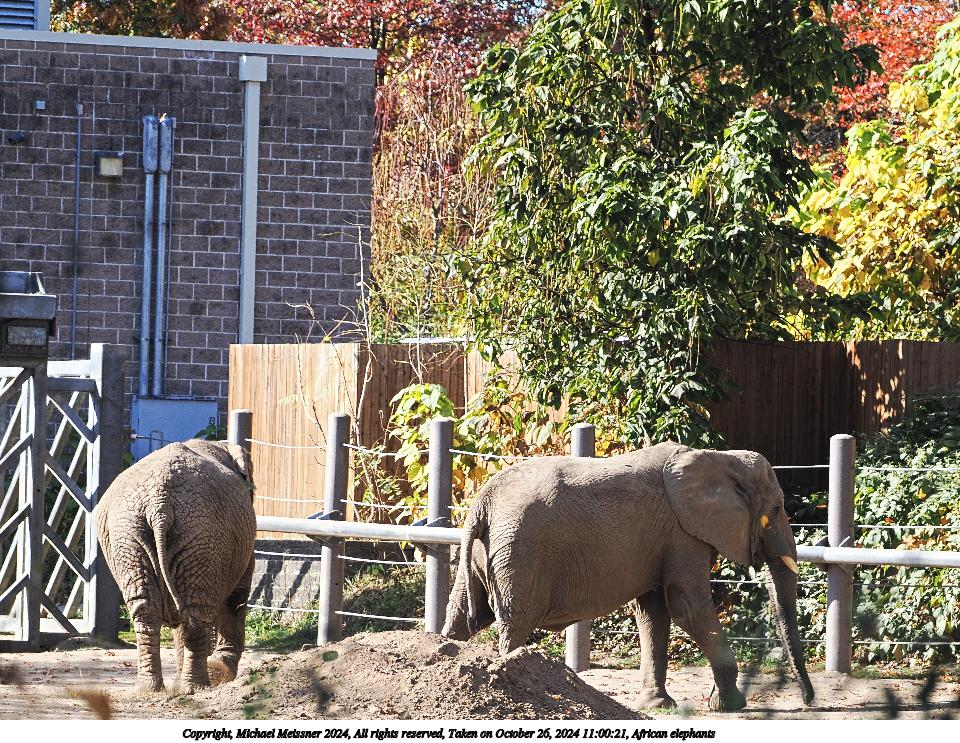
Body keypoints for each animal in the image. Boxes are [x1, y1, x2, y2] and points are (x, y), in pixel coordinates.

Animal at [95, 438, 256, 694]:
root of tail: (159, 504)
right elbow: (237, 596)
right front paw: (221, 671)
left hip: (128, 535)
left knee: (150, 610)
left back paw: (151, 689)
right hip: (202, 532)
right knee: (195, 610)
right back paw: (196, 687)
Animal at [441, 442, 814, 712]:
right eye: (777, 509)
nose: (810, 703)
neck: (721, 458)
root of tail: (482, 502)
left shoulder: (663, 540)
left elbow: (653, 613)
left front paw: (658, 706)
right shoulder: (682, 534)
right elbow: (687, 608)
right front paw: (731, 705)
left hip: (488, 552)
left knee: (463, 614)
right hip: (520, 552)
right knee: (515, 621)